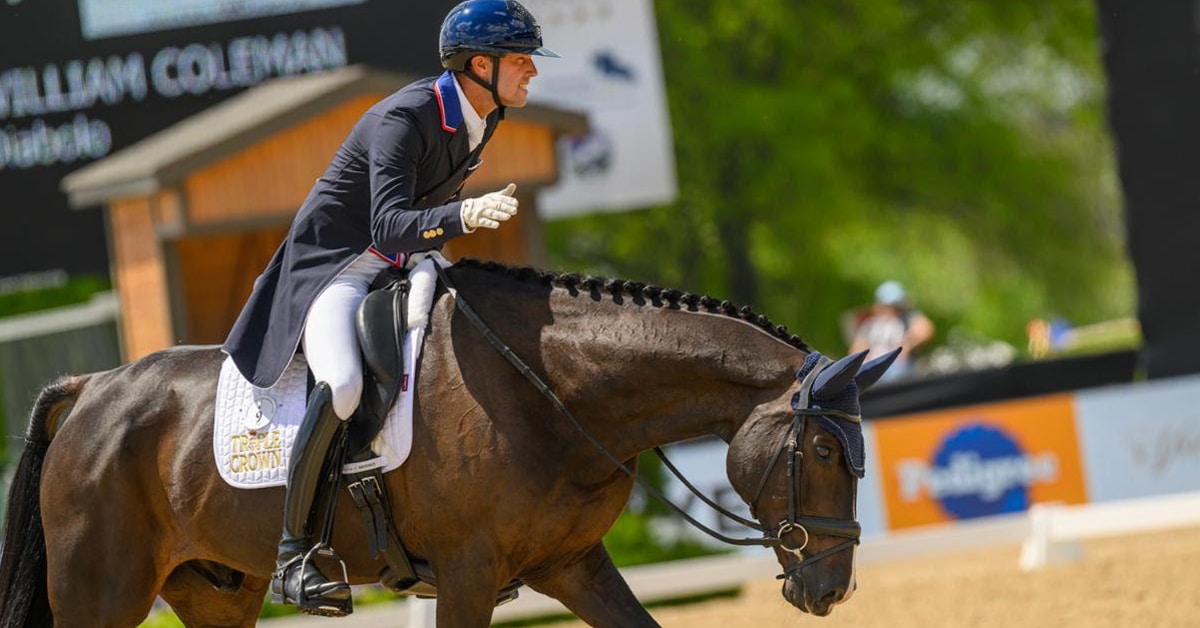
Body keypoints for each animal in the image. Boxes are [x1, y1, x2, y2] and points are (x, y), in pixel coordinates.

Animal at [0, 259, 896, 627]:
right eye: (823, 454)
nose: (833, 590)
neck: (552, 390)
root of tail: (93, 388)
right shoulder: (466, 575)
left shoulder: (571, 563)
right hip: (102, 593)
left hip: (216, 591)